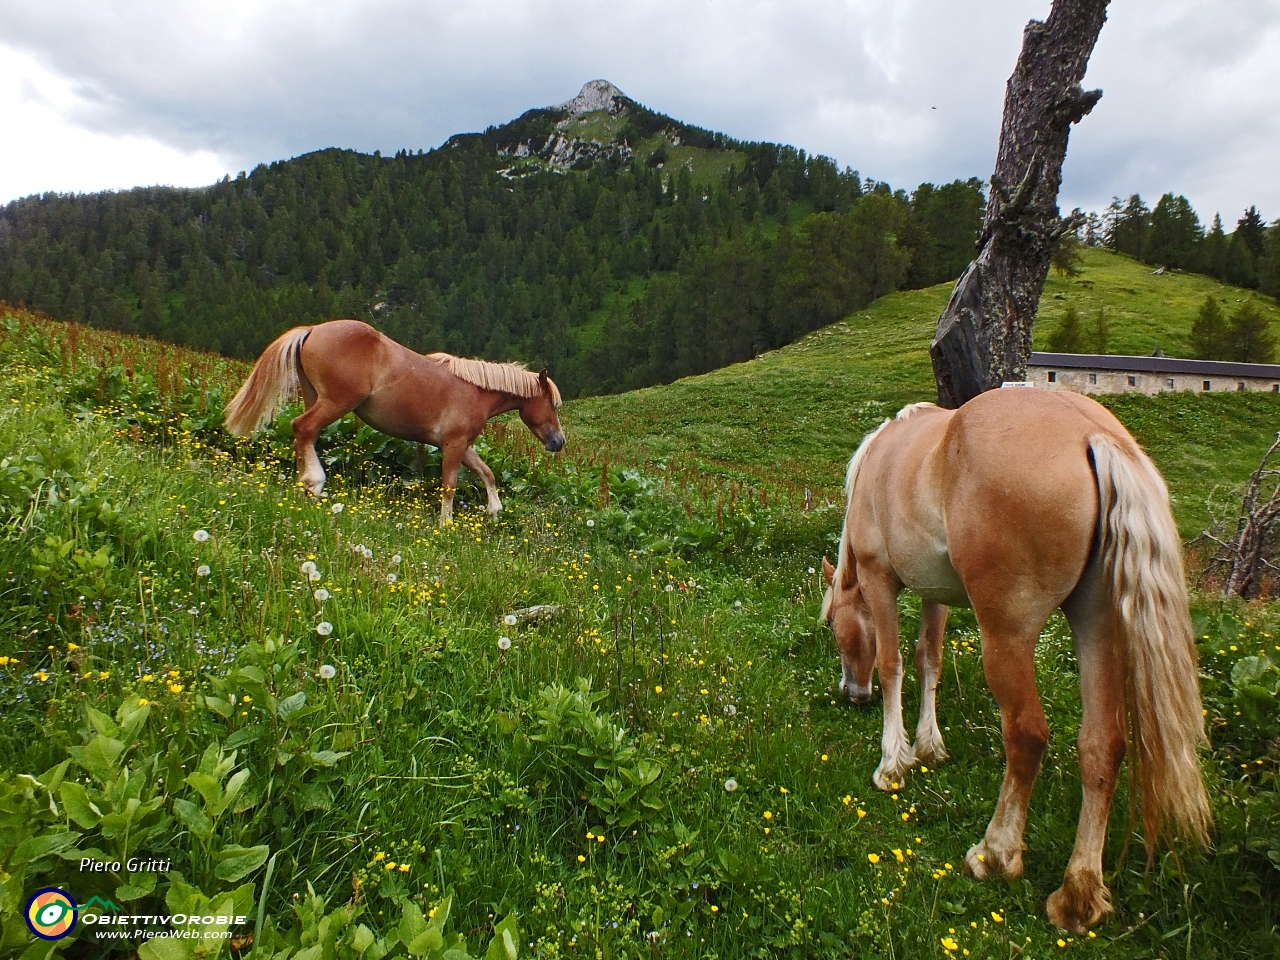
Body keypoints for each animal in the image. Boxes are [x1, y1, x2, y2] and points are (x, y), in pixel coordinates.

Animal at [222, 320, 563, 522]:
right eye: (552, 404)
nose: (559, 441)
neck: (475, 390)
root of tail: (313, 329)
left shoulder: (461, 445)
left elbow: (487, 473)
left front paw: (493, 510)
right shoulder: (453, 445)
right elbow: (450, 486)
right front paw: (447, 524)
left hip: (315, 398)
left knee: (304, 434)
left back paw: (302, 484)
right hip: (336, 403)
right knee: (303, 428)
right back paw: (314, 482)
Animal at [819, 389, 1208, 931]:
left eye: (834, 626)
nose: (852, 695)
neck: (884, 457)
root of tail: (1094, 435)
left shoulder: (880, 580)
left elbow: (893, 663)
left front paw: (894, 761)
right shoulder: (935, 593)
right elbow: (929, 660)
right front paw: (929, 746)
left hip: (1007, 637)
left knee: (1026, 736)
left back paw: (996, 854)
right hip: (1097, 627)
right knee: (1103, 746)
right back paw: (1077, 896)